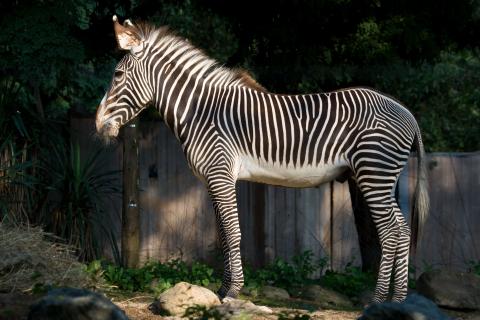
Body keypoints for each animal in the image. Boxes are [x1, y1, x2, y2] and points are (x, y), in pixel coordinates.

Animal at [95, 16, 430, 302]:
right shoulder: (213, 180)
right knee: (403, 231)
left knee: (390, 232)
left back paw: (377, 300)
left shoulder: (220, 174)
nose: (98, 125)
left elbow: (233, 232)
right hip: (380, 178)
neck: (200, 111)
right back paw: (397, 300)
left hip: (374, 173)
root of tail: (407, 112)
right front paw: (222, 289)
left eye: (117, 75)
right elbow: (222, 234)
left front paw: (234, 291)